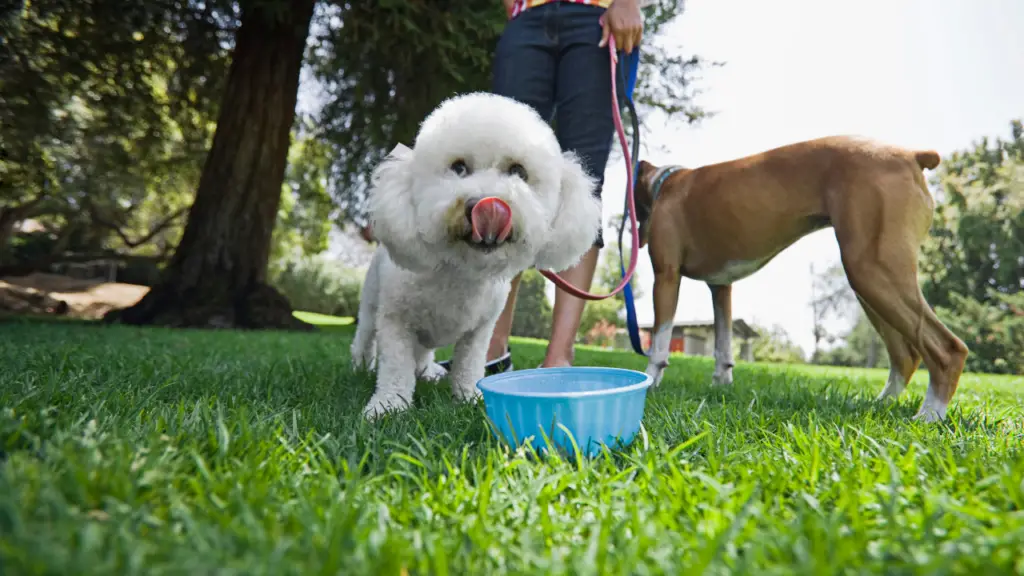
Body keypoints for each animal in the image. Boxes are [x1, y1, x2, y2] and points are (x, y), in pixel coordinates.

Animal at [352, 91, 598, 420]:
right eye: (458, 167)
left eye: (518, 171)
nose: (484, 206)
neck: (461, 270)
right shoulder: (396, 321)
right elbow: (395, 368)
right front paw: (388, 406)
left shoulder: (479, 331)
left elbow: (469, 366)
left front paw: (469, 398)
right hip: (370, 306)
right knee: (365, 339)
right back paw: (360, 368)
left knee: (423, 352)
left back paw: (427, 371)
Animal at [638, 136, 966, 420]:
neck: (665, 183)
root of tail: (913, 155)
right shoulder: (721, 287)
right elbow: (723, 344)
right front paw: (721, 384)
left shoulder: (666, 276)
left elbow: (660, 339)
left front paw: (650, 381)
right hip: (873, 282)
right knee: (905, 356)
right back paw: (881, 404)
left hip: (873, 272)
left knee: (947, 348)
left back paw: (929, 415)